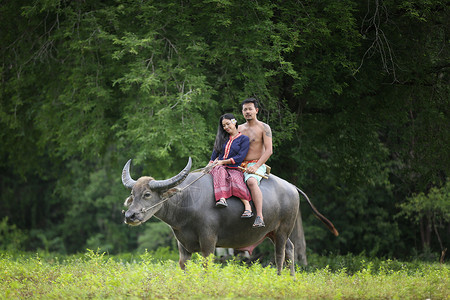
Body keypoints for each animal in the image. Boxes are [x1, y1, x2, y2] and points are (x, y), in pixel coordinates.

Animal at [120, 158, 338, 276]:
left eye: (147, 194)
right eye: (133, 194)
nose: (130, 215)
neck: (188, 200)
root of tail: (292, 187)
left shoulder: (209, 239)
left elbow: (207, 264)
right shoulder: (182, 244)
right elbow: (183, 265)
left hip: (284, 229)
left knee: (280, 254)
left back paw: (280, 277)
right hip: (272, 232)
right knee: (291, 249)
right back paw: (291, 278)